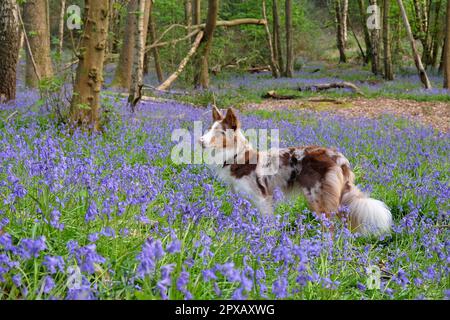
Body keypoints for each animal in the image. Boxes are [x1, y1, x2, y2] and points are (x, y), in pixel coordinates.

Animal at [200, 106, 394, 236]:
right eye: (209, 129)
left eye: (220, 132)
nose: (200, 141)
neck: (236, 156)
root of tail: (338, 157)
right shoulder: (240, 199)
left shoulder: (263, 199)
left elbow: (268, 224)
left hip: (316, 198)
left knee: (329, 227)